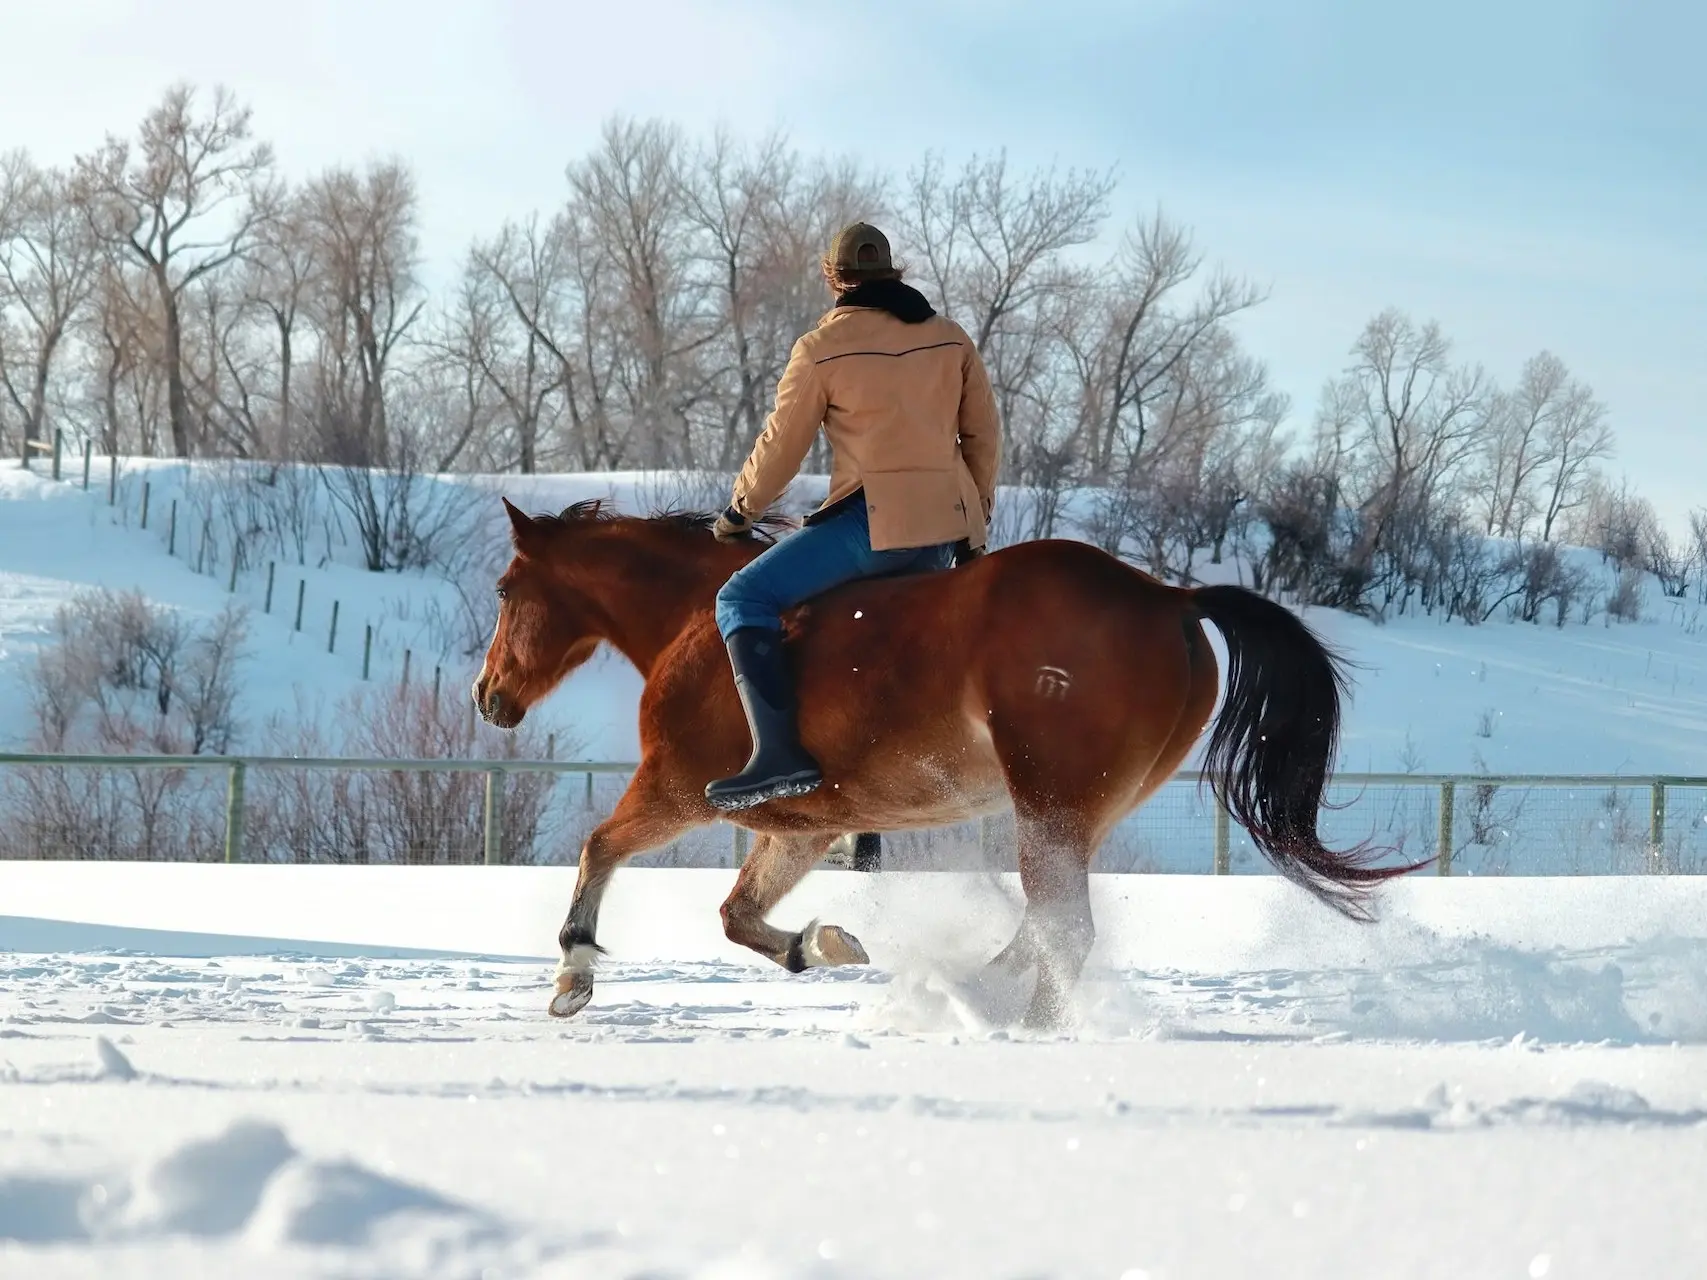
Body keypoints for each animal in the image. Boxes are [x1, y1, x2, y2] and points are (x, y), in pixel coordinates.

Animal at [474, 501, 1420, 1030]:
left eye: (504, 589)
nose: (489, 696)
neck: (692, 623)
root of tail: (1168, 597)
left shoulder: (674, 790)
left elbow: (599, 849)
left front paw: (572, 975)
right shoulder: (798, 829)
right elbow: (738, 917)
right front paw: (826, 944)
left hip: (1047, 803)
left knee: (1064, 928)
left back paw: (1018, 1025)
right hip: (1075, 812)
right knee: (1043, 925)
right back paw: (977, 992)